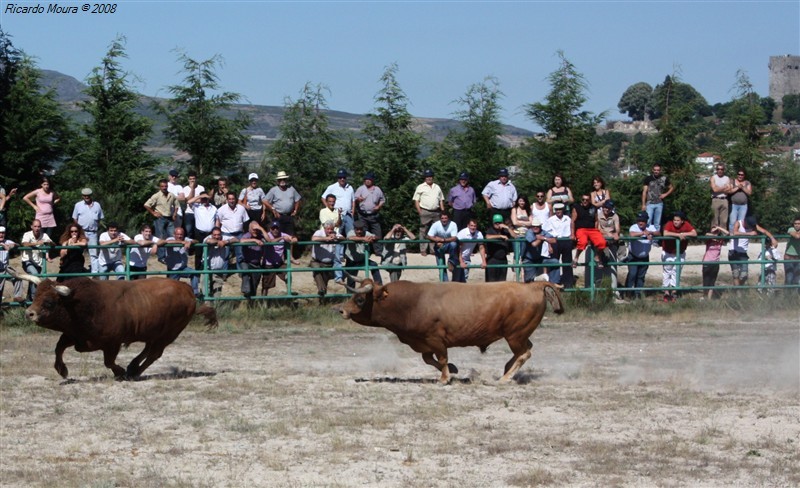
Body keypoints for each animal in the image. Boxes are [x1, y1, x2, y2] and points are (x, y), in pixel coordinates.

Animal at [6, 268, 217, 380]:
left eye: (49, 302)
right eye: (35, 296)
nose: (29, 313)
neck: (83, 304)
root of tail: (187, 289)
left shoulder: (112, 343)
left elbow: (109, 361)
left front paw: (120, 372)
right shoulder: (75, 336)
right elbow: (58, 349)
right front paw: (62, 370)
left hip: (169, 333)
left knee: (154, 353)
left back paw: (134, 371)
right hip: (154, 332)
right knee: (149, 349)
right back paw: (133, 367)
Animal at [340, 278, 564, 386]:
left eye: (360, 299)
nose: (341, 310)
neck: (413, 302)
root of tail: (534, 286)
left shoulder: (435, 339)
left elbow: (441, 358)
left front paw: (444, 378)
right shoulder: (423, 342)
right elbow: (429, 359)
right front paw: (454, 370)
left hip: (515, 335)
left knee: (524, 353)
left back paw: (505, 378)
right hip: (519, 335)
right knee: (523, 351)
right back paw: (506, 371)